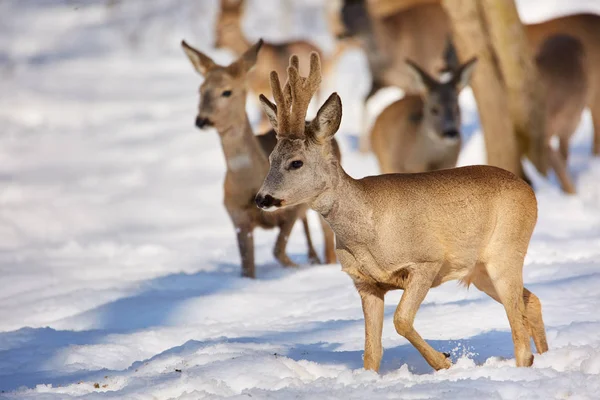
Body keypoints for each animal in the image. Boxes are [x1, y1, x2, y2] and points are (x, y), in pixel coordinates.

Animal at [180, 39, 340, 278]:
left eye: (226, 92)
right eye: (200, 90)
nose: (202, 120)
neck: (248, 179)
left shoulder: (291, 210)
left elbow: (279, 251)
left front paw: (300, 269)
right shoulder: (238, 218)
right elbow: (248, 268)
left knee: (326, 240)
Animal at [255, 52, 548, 372]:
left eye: (296, 162)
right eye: (270, 158)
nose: (261, 198)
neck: (367, 229)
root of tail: (529, 191)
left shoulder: (427, 260)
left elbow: (401, 320)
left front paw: (444, 361)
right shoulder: (365, 283)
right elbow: (371, 353)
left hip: (506, 250)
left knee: (519, 329)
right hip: (480, 269)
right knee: (532, 300)